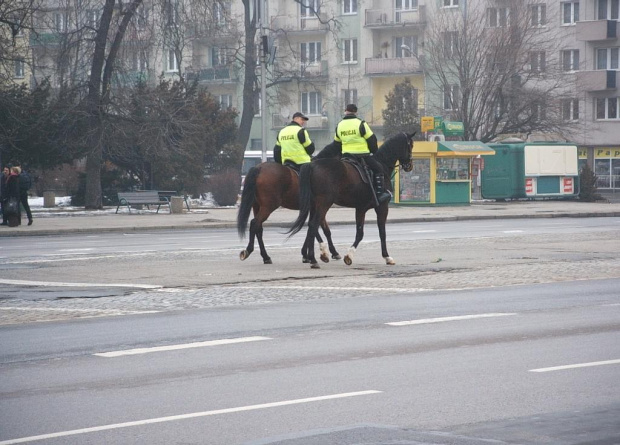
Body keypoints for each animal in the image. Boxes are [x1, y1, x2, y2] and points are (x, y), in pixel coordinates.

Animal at [286, 132, 414, 268]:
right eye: (411, 145)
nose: (410, 165)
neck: (382, 163)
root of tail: (311, 165)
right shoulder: (382, 207)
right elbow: (380, 232)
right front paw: (385, 257)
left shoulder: (361, 208)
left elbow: (360, 232)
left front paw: (348, 255)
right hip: (324, 203)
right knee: (314, 225)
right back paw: (314, 258)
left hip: (315, 204)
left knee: (311, 225)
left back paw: (312, 256)